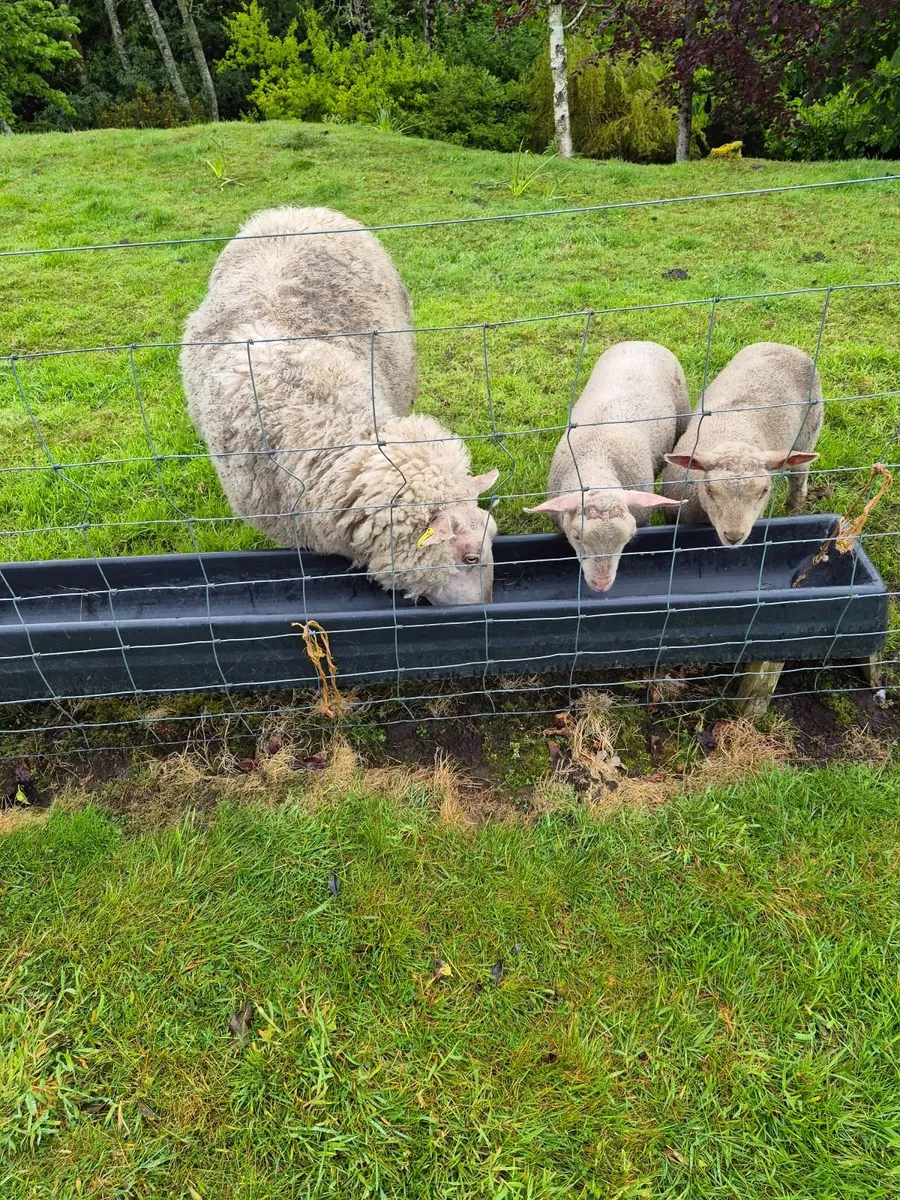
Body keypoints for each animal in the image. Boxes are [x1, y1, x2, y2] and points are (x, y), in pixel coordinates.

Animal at [660, 342, 823, 547]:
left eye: (764, 491)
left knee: (799, 478)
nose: (734, 537)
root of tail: (783, 346)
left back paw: (794, 510)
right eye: (709, 490)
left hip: (808, 434)